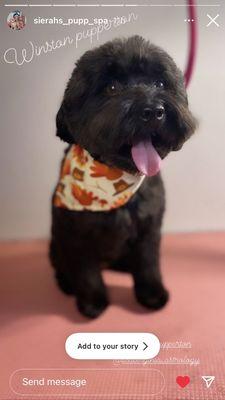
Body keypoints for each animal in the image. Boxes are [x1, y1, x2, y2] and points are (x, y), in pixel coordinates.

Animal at [48, 36, 195, 318]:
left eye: (160, 83)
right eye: (112, 87)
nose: (153, 110)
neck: (115, 182)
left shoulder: (149, 228)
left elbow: (149, 264)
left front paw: (152, 294)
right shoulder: (76, 235)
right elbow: (87, 273)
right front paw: (92, 303)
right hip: (56, 244)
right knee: (61, 266)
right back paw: (66, 284)